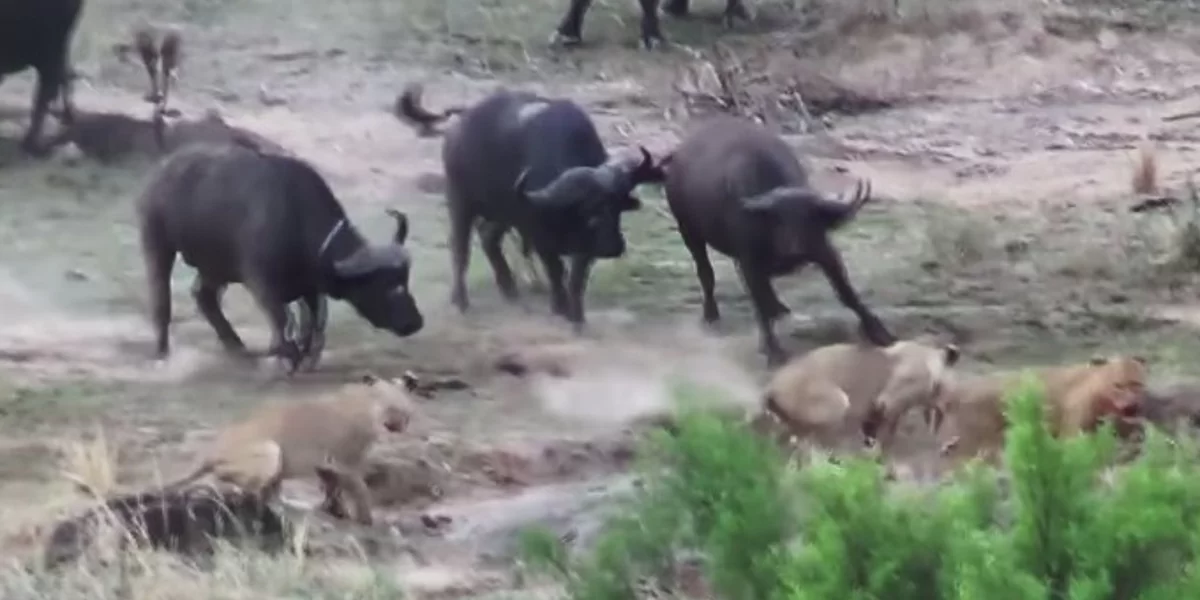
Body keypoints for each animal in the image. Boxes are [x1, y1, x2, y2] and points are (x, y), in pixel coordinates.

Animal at [136, 143, 424, 373]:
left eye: (405, 281)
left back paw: (238, 349)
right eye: (386, 287)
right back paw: (162, 352)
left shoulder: (311, 289)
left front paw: (306, 355)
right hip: (157, 245)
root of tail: (161, 171)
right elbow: (284, 321)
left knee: (204, 297)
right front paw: (288, 358)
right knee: (162, 300)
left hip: (215, 266)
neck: (297, 221)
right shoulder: (262, 283)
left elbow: (316, 324)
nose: (415, 322)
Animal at [158, 374, 416, 526]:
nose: (400, 423)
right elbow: (360, 489)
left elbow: (333, 488)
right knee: (241, 491)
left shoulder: (326, 462)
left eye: (405, 408)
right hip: (271, 451)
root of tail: (210, 450)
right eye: (391, 407)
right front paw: (365, 519)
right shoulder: (347, 461)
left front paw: (335, 511)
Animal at [395, 83, 660, 331]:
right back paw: (461, 300)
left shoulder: (584, 248)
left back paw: (509, 289)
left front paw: (577, 316)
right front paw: (560, 307)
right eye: (590, 209)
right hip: (460, 201)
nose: (613, 246)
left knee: (488, 237)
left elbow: (576, 280)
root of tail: (461, 121)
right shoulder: (539, 235)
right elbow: (556, 271)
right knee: (460, 250)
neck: (565, 215)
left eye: (617, 206)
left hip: (503, 212)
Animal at [660, 116, 895, 365]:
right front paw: (773, 350)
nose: (795, 252)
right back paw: (711, 314)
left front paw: (879, 331)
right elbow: (759, 305)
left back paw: (778, 307)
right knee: (706, 273)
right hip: (689, 232)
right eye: (778, 220)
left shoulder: (823, 250)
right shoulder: (750, 262)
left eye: (809, 218)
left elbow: (847, 292)